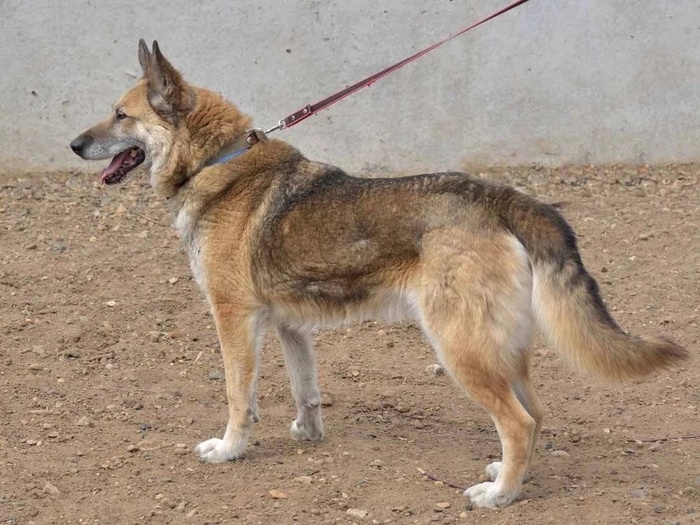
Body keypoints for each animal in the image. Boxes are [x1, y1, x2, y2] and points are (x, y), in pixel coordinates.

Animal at [69, 40, 688, 508]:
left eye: (121, 114)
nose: (74, 143)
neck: (216, 162)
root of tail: (494, 195)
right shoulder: (288, 325)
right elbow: (306, 390)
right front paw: (308, 435)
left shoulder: (235, 321)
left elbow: (238, 397)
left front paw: (230, 450)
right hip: (501, 350)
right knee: (534, 417)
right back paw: (506, 476)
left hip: (459, 348)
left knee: (519, 423)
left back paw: (500, 497)